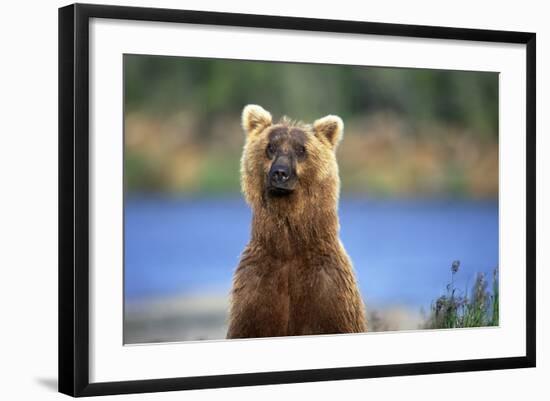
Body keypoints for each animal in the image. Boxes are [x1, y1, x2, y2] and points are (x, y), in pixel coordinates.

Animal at [226, 104, 368, 338]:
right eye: (271, 147)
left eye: (301, 149)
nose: (280, 173)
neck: (288, 248)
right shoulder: (256, 290)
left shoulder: (328, 291)